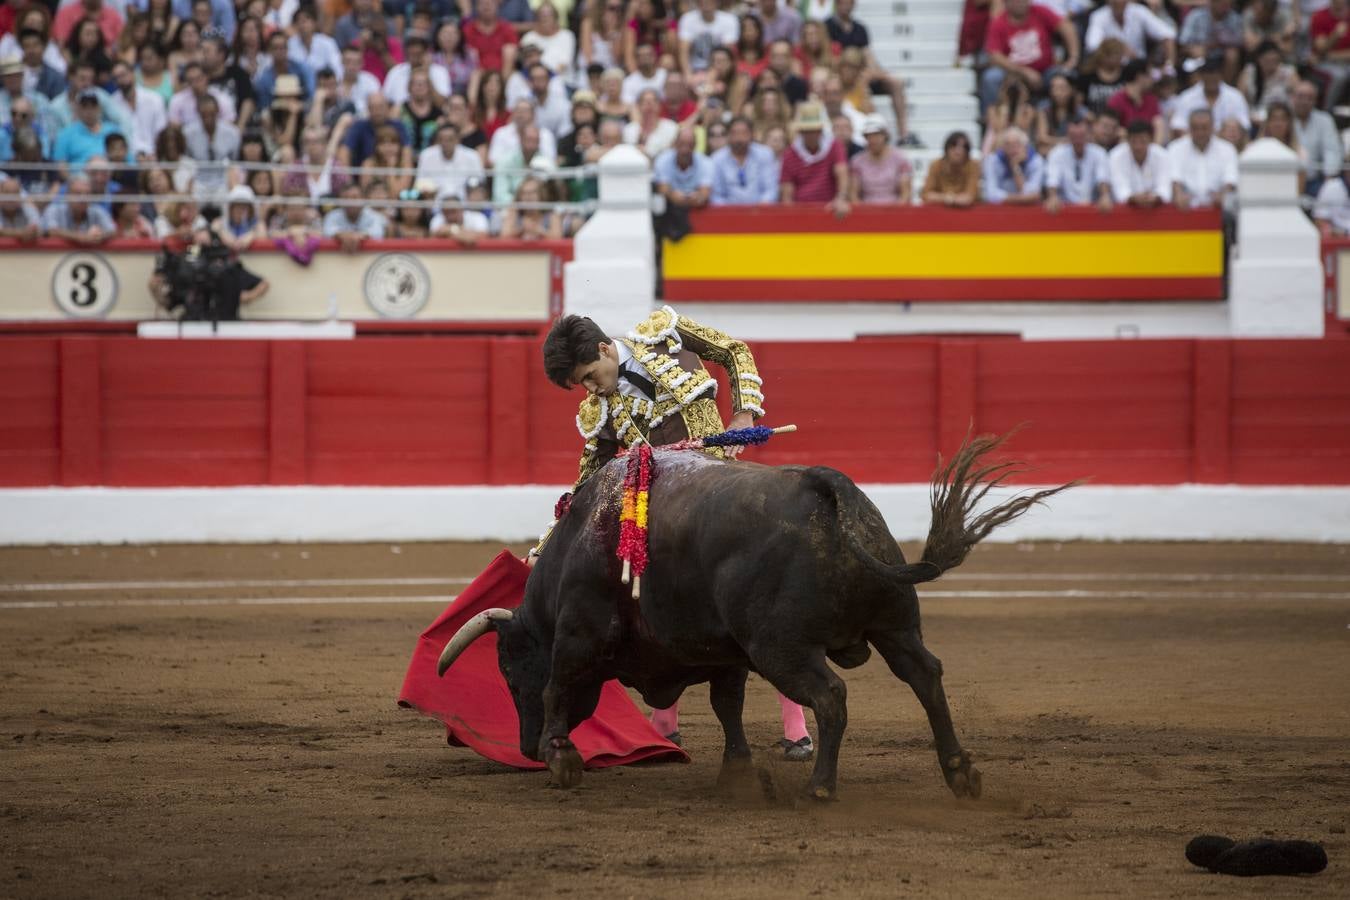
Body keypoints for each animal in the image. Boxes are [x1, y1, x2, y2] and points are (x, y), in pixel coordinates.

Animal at [440, 431, 1074, 798]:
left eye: (508, 672)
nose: (523, 748)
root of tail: (829, 488)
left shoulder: (579, 633)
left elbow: (559, 685)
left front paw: (560, 758)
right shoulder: (725, 653)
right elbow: (729, 706)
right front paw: (739, 773)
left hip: (781, 647)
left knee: (830, 696)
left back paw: (820, 789)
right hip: (894, 627)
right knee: (925, 676)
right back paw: (961, 773)